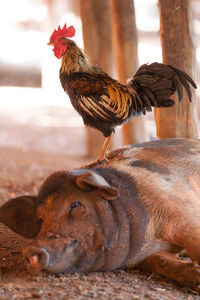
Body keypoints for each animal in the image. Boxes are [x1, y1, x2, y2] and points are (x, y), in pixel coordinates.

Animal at [0, 138, 200, 290]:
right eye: (41, 219)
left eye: (75, 204)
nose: (31, 250)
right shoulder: (148, 255)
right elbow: (163, 262)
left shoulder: (179, 208)